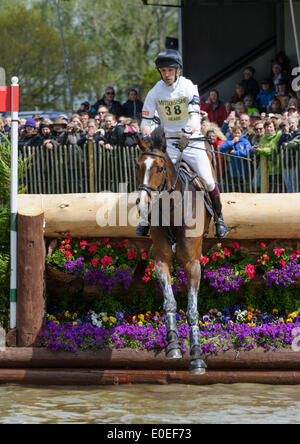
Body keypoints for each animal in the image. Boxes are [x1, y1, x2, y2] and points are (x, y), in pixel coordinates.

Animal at [135, 128, 214, 374]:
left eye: (160, 168)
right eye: (138, 166)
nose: (142, 203)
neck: (172, 211)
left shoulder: (193, 264)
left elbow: (192, 309)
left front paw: (197, 357)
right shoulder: (161, 260)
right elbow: (169, 302)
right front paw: (173, 346)